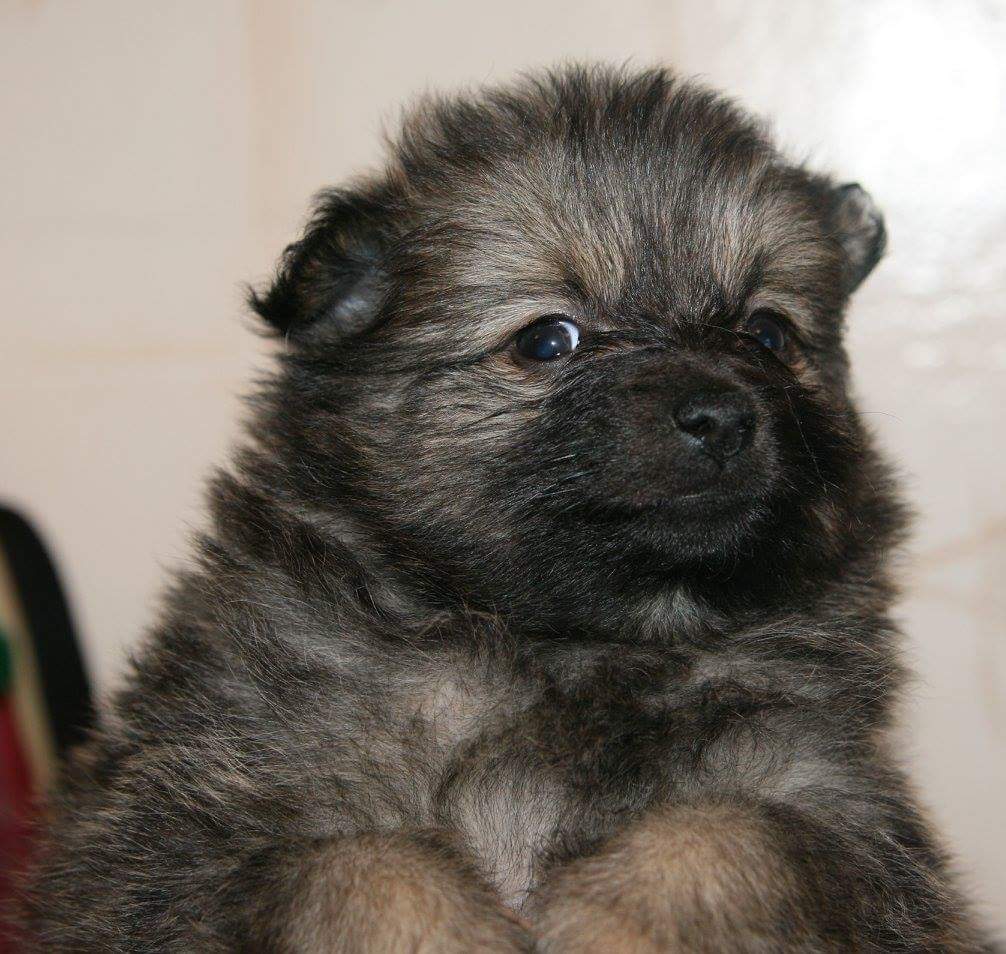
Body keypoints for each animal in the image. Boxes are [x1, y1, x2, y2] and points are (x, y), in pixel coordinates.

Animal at [20, 65, 991, 952]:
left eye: (768, 334)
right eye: (547, 340)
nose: (720, 415)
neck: (567, 649)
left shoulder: (839, 803)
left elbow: (727, 831)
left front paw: (611, 921)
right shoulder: (180, 833)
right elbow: (360, 861)